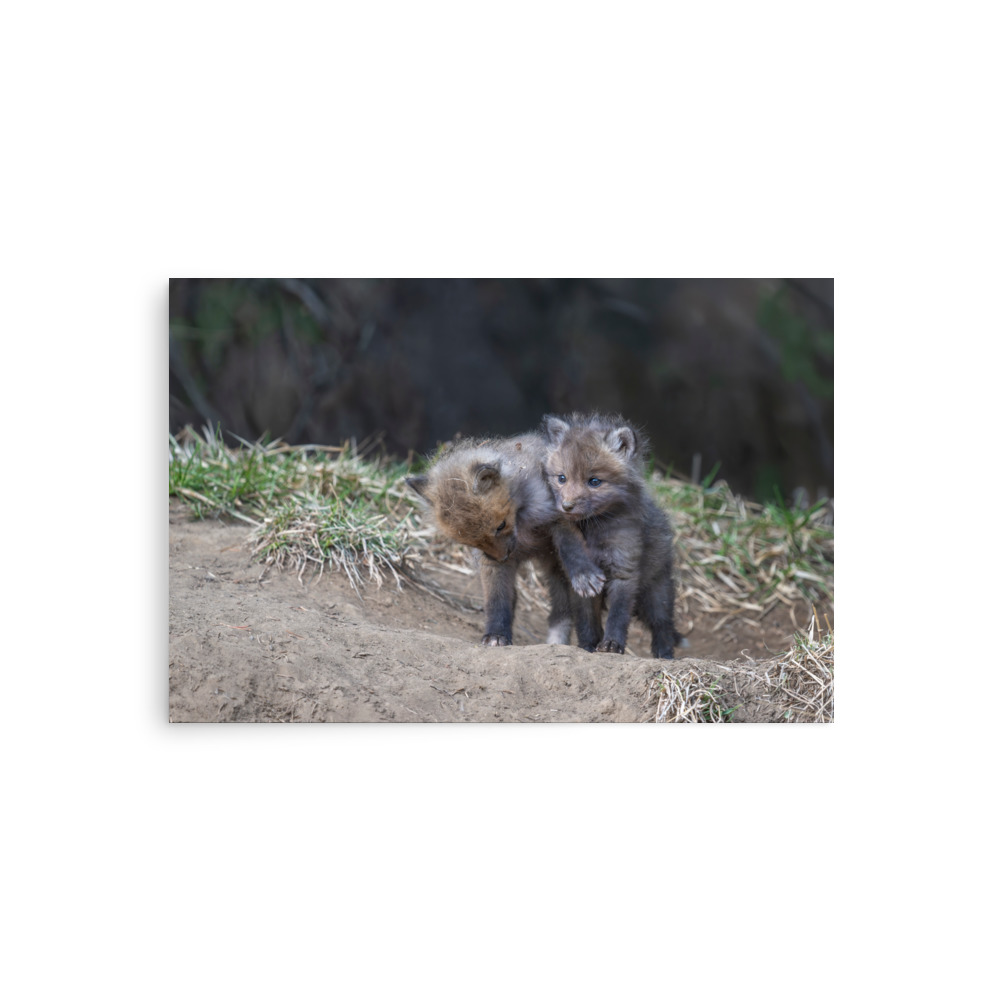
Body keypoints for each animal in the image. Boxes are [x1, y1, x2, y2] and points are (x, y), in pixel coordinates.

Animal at [405, 432, 604, 647]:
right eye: (469, 542)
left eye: (500, 526)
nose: (502, 557)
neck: (522, 522)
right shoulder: (489, 562)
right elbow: (497, 599)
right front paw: (496, 634)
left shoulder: (559, 516)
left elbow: (571, 548)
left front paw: (584, 574)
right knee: (560, 611)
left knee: (582, 614)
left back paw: (589, 645)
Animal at [541, 412, 678, 659]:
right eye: (562, 478)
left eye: (594, 481)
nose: (566, 506)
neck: (594, 530)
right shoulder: (580, 583)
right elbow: (586, 620)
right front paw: (588, 646)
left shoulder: (624, 570)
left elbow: (618, 615)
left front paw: (612, 644)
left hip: (656, 593)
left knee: (663, 625)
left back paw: (665, 655)